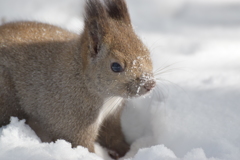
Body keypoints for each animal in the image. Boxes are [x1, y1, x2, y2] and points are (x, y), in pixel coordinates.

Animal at [0, 0, 156, 158]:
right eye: (116, 66)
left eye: (147, 52)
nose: (150, 84)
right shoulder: (72, 120)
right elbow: (81, 144)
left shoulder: (112, 116)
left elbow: (114, 136)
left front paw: (126, 151)